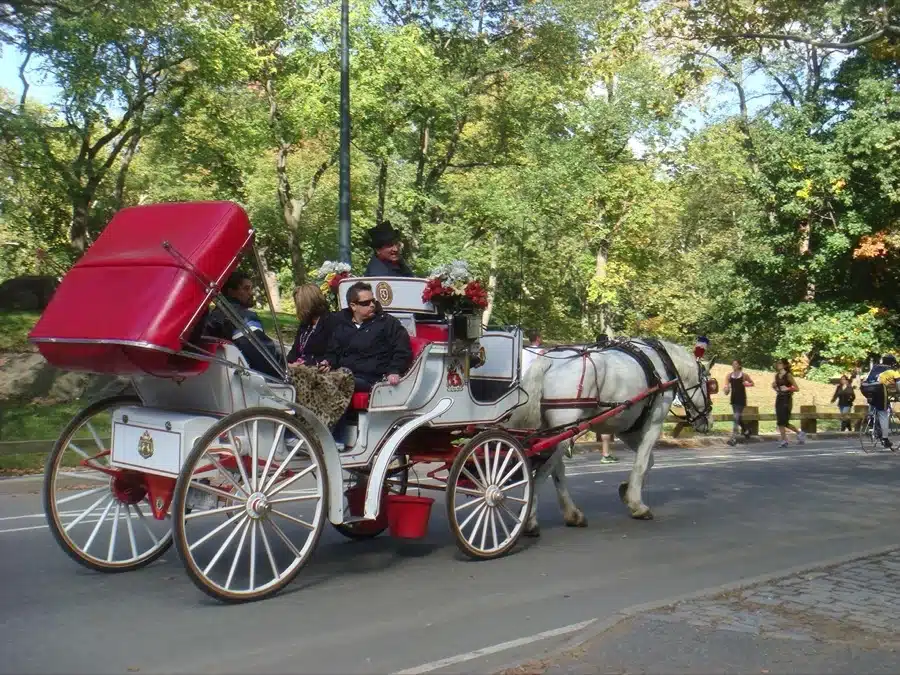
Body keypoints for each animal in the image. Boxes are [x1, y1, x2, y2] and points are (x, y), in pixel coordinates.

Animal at [502, 340, 712, 536]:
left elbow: (648, 461)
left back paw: (572, 515)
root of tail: (549, 361)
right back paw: (530, 520)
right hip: (563, 431)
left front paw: (626, 491)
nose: (708, 421)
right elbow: (642, 462)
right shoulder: (654, 423)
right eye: (709, 385)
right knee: (541, 471)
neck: (662, 364)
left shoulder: (626, 429)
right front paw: (637, 505)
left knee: (556, 469)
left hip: (550, 431)